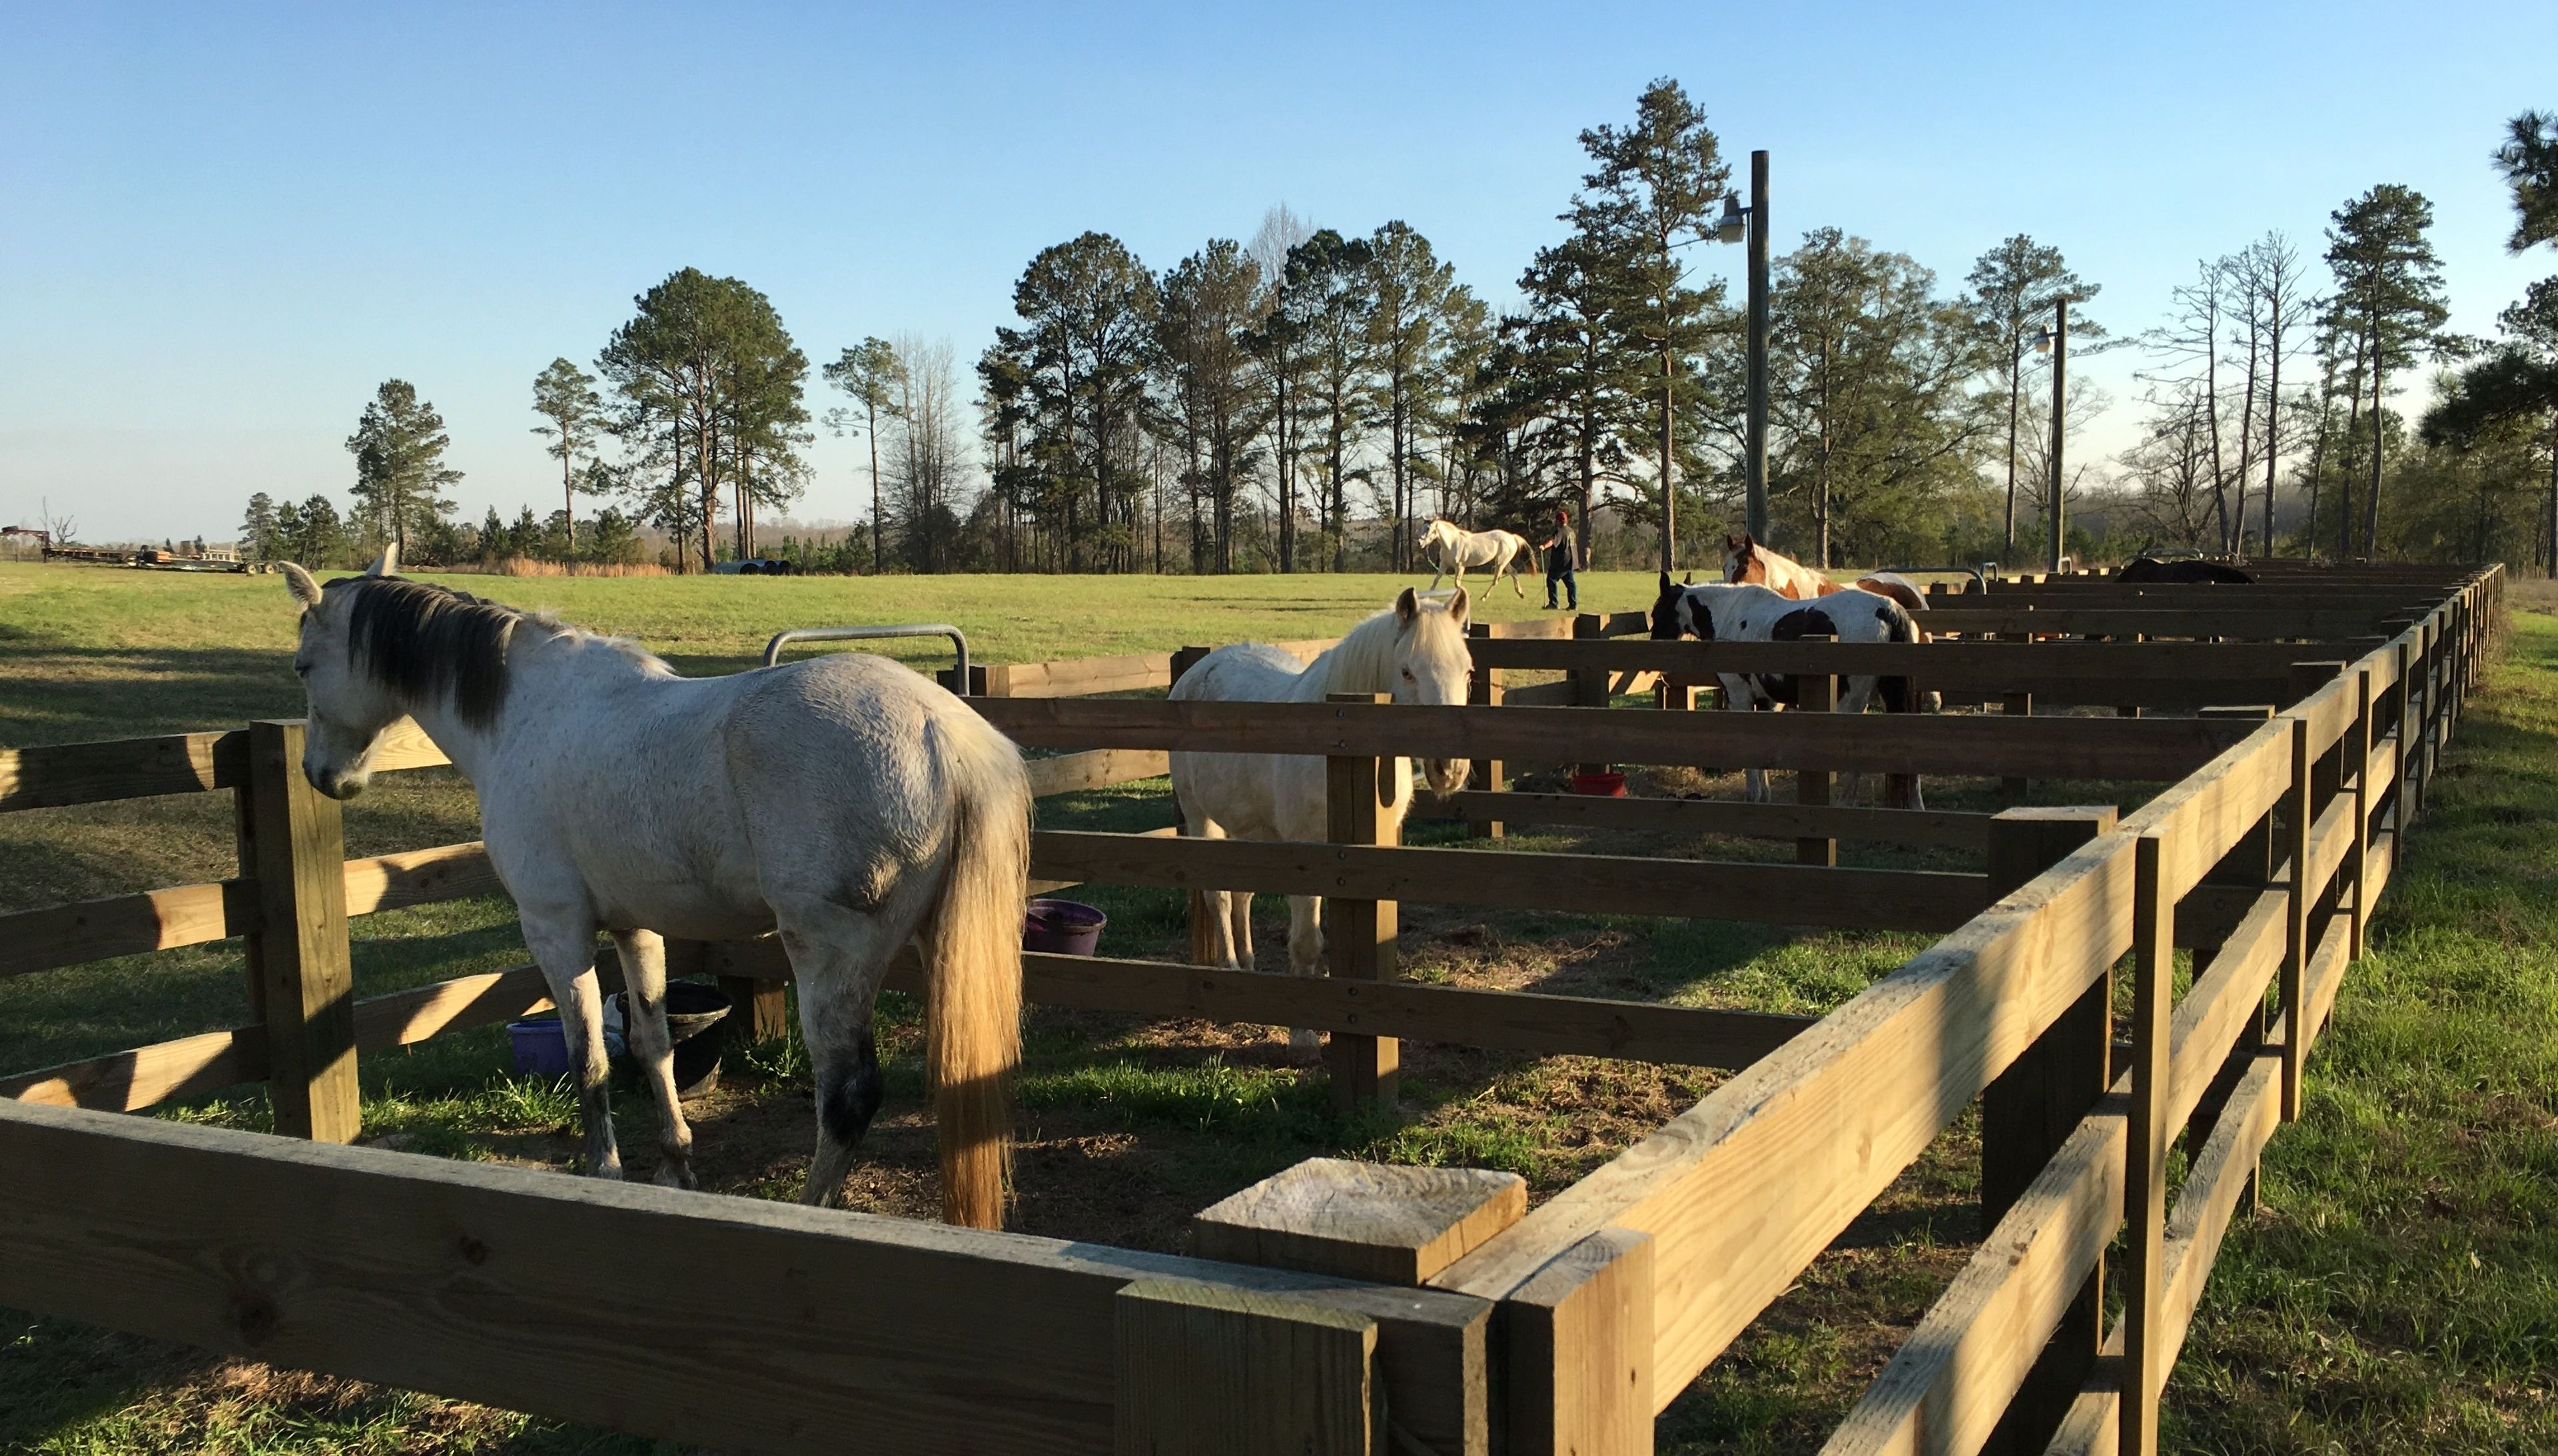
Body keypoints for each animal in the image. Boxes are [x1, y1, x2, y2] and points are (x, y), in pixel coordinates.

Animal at [282, 545, 1028, 1228]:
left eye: (303, 667)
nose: (323, 775)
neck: (524, 714)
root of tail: (942, 730)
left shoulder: (555, 928)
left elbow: (588, 1058)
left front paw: (605, 1172)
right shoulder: (635, 926)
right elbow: (653, 1045)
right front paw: (676, 1168)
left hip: (830, 957)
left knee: (847, 1097)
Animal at [1171, 588, 1473, 1054]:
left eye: (1468, 671)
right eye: (1407, 672)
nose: (1450, 769)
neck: (1341, 747)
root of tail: (1197, 671)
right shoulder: (1308, 854)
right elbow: (1307, 942)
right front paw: (1304, 1035)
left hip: (1247, 827)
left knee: (1241, 894)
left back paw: (1249, 968)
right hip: (1199, 815)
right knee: (1219, 896)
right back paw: (1230, 972)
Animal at [1422, 519, 1535, 598]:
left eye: (1429, 529)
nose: (1420, 543)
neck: (1452, 543)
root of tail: (1512, 537)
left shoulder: (1460, 566)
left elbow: (1457, 584)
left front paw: (1468, 595)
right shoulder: (1443, 565)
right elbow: (1436, 581)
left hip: (1500, 563)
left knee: (1497, 580)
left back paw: (1484, 597)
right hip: (1505, 562)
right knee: (1514, 573)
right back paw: (1520, 593)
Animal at [1647, 570, 1923, 809]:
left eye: (1657, 611)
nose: (1654, 648)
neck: (1730, 616)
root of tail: (1886, 609)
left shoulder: (1740, 697)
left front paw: (1753, 796)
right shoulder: (1765, 701)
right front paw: (1765, 797)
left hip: (1852, 705)